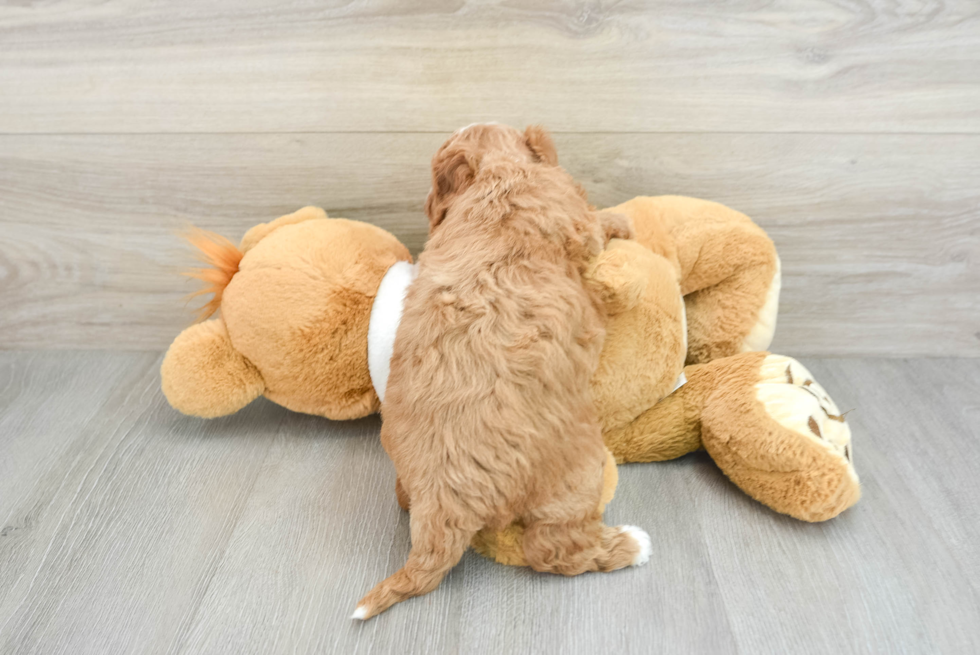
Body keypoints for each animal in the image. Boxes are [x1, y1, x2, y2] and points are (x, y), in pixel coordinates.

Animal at [354, 123, 652, 620]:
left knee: (403, 498)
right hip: (578, 475)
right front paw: (623, 221)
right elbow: (596, 221)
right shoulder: (577, 219)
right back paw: (632, 545)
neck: (497, 171)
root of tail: (443, 501)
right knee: (554, 549)